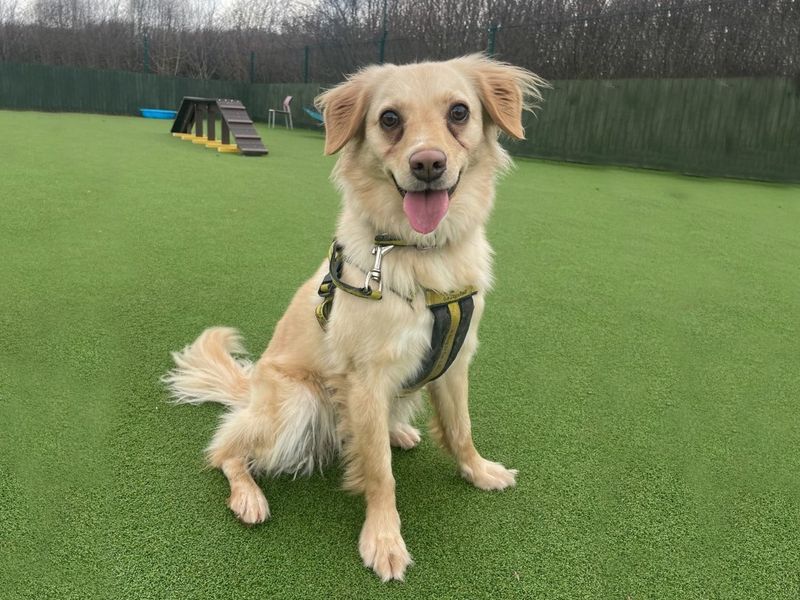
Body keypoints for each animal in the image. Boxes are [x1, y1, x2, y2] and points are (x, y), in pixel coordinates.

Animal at [166, 55, 548, 580]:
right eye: (389, 119)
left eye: (459, 112)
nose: (427, 164)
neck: (417, 254)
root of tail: (250, 390)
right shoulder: (366, 380)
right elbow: (380, 473)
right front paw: (383, 539)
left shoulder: (455, 364)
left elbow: (461, 429)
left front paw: (479, 471)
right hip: (299, 401)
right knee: (225, 448)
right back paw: (248, 495)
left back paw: (399, 431)